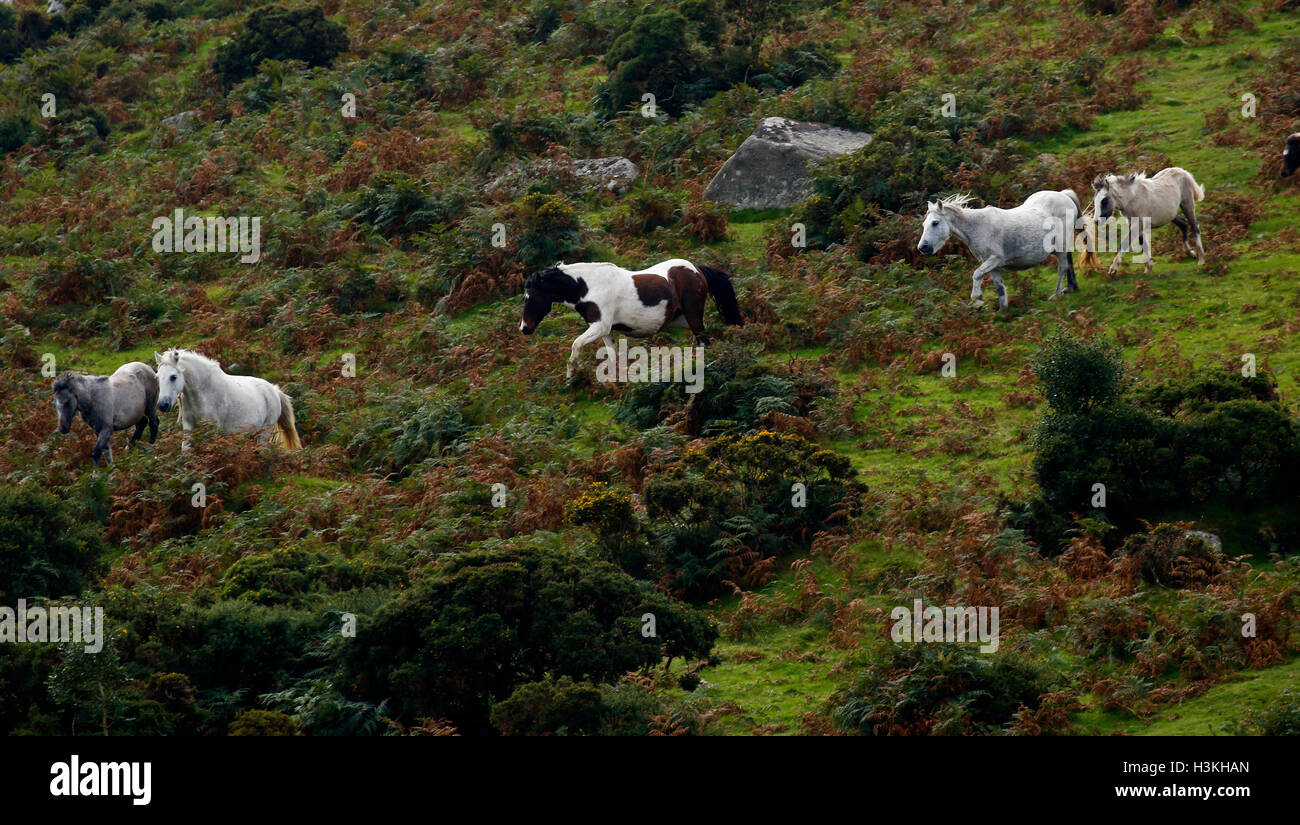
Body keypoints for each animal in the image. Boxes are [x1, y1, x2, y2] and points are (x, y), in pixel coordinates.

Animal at [154, 348, 301, 452]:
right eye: (157, 377)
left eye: (173, 377)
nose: (162, 405)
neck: (204, 390)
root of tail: (274, 390)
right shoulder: (189, 425)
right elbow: (186, 449)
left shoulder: (213, 430)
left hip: (265, 430)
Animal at [517, 257, 743, 379]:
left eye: (531, 297)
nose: (524, 328)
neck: (587, 287)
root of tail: (696, 269)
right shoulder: (605, 331)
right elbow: (613, 356)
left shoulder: (599, 326)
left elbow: (576, 344)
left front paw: (570, 373)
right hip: (683, 320)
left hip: (693, 316)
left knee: (704, 342)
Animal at [915, 188, 1086, 311]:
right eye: (924, 224)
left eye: (935, 223)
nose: (922, 247)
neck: (977, 227)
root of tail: (1064, 195)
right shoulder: (992, 264)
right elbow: (999, 288)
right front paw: (1002, 311)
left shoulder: (995, 259)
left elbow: (976, 274)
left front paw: (977, 300)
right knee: (1069, 263)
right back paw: (1071, 288)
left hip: (1061, 246)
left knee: (1062, 268)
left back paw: (1056, 295)